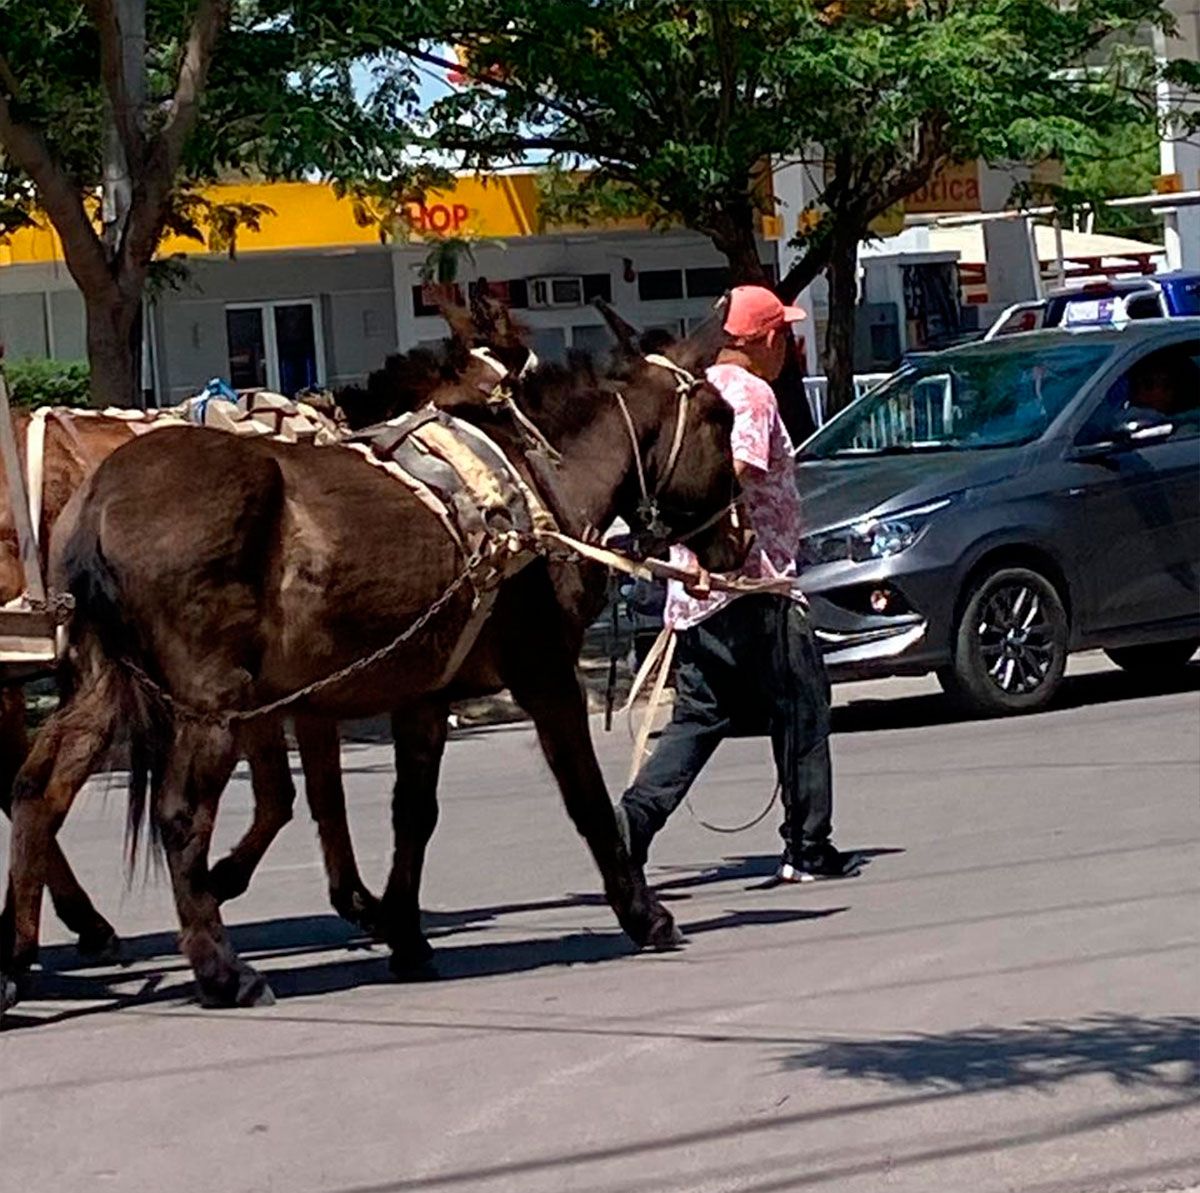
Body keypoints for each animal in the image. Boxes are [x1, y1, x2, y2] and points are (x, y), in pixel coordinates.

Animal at [2, 333, 739, 1003]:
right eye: (722, 418)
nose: (739, 539)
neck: (527, 488)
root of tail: (101, 498)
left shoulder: (420, 694)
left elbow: (409, 812)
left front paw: (402, 931)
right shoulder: (545, 674)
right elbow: (586, 796)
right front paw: (643, 913)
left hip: (102, 686)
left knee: (36, 790)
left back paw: (20, 958)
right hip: (210, 704)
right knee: (179, 815)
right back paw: (222, 970)